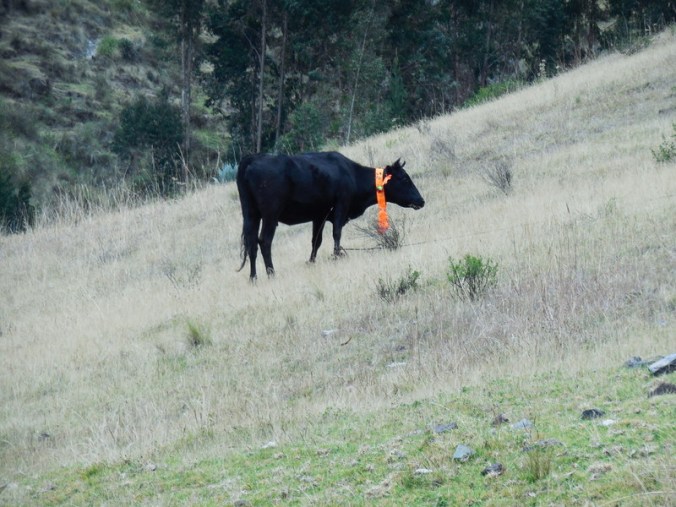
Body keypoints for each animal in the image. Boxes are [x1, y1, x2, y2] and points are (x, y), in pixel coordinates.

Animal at [236, 151, 425, 280]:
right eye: (404, 179)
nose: (421, 200)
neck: (351, 174)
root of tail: (252, 159)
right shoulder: (341, 206)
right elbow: (336, 234)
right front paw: (337, 255)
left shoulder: (319, 215)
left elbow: (316, 241)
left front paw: (311, 262)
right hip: (270, 215)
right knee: (264, 241)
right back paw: (271, 273)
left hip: (250, 214)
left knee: (251, 243)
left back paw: (253, 277)